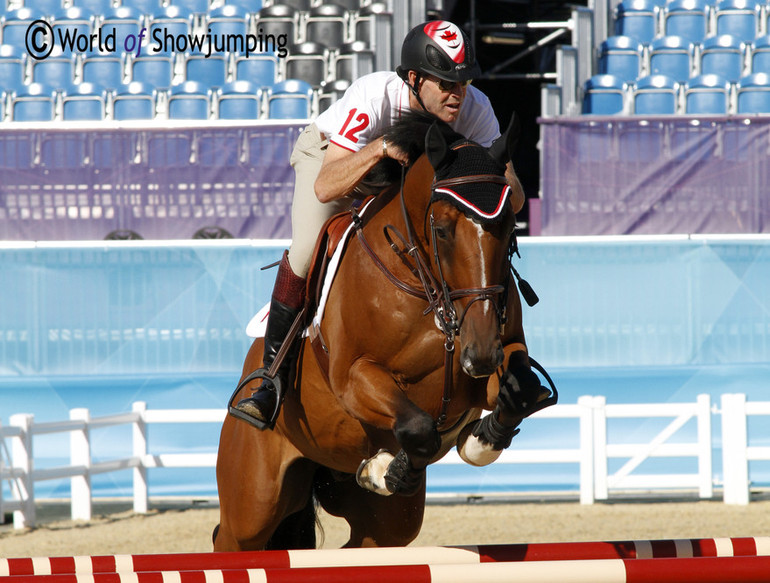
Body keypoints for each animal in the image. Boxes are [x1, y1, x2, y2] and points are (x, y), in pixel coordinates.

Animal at [213, 113, 556, 552]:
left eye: (511, 223)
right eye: (442, 230)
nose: (480, 354)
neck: (427, 290)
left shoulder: (497, 358)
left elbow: (519, 391)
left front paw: (475, 440)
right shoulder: (354, 377)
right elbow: (418, 427)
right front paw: (386, 468)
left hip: (381, 523)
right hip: (253, 503)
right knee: (232, 538)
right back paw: (263, 402)